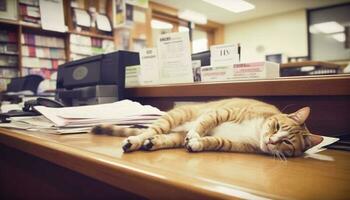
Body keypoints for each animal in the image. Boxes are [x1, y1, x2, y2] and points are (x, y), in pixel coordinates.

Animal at [91, 97, 322, 157]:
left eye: (287, 142)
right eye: (276, 126)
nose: (270, 141)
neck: (256, 132)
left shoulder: (235, 144)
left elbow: (214, 141)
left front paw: (197, 144)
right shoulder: (224, 112)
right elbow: (205, 123)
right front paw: (195, 134)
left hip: (175, 135)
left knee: (164, 137)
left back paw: (152, 143)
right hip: (177, 116)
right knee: (151, 130)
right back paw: (135, 141)